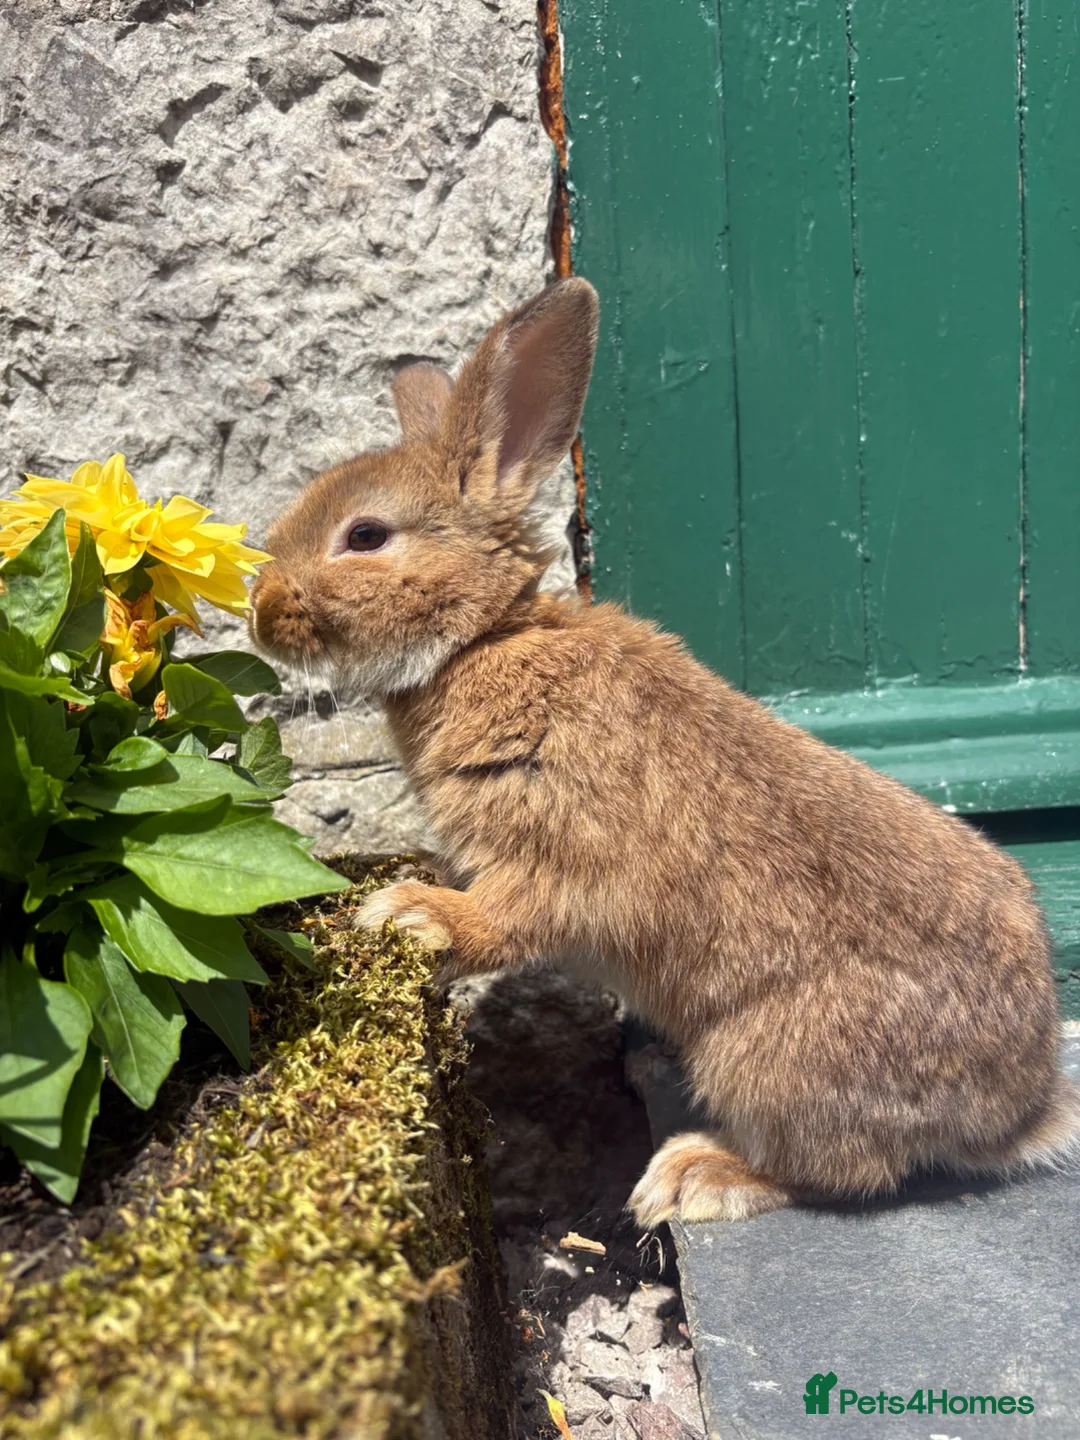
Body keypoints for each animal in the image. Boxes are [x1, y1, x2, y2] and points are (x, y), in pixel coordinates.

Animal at [251, 278, 1080, 1226]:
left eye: (365, 537)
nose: (258, 613)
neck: (484, 640)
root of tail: (1012, 1114)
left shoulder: (563, 849)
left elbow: (511, 917)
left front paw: (410, 915)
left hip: (763, 1059)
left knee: (845, 1172)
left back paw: (696, 1175)